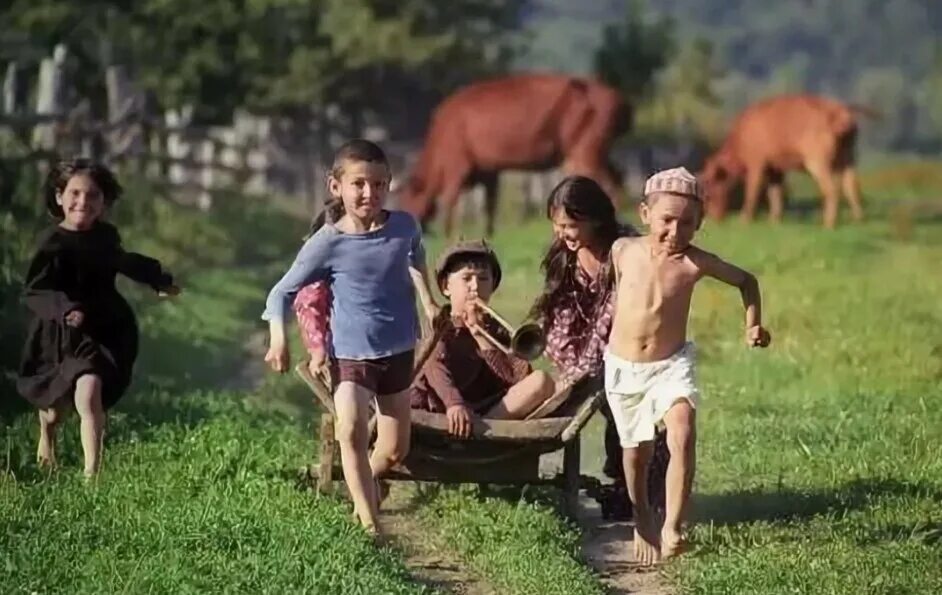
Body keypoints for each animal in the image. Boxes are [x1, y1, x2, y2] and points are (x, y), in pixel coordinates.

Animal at [398, 72, 636, 235]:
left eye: (407, 201)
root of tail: (619, 98)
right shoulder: (490, 171)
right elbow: (490, 204)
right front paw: (489, 233)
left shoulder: (457, 167)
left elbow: (450, 201)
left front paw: (449, 234)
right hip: (597, 152)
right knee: (619, 178)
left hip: (584, 153)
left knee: (608, 184)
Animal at [700, 95, 876, 228]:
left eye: (710, 190)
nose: (714, 218)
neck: (740, 136)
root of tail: (839, 110)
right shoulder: (776, 170)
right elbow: (775, 194)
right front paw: (774, 220)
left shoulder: (757, 164)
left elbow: (753, 190)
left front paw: (745, 219)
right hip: (849, 159)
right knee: (852, 186)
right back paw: (859, 220)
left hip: (818, 163)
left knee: (831, 190)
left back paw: (828, 224)